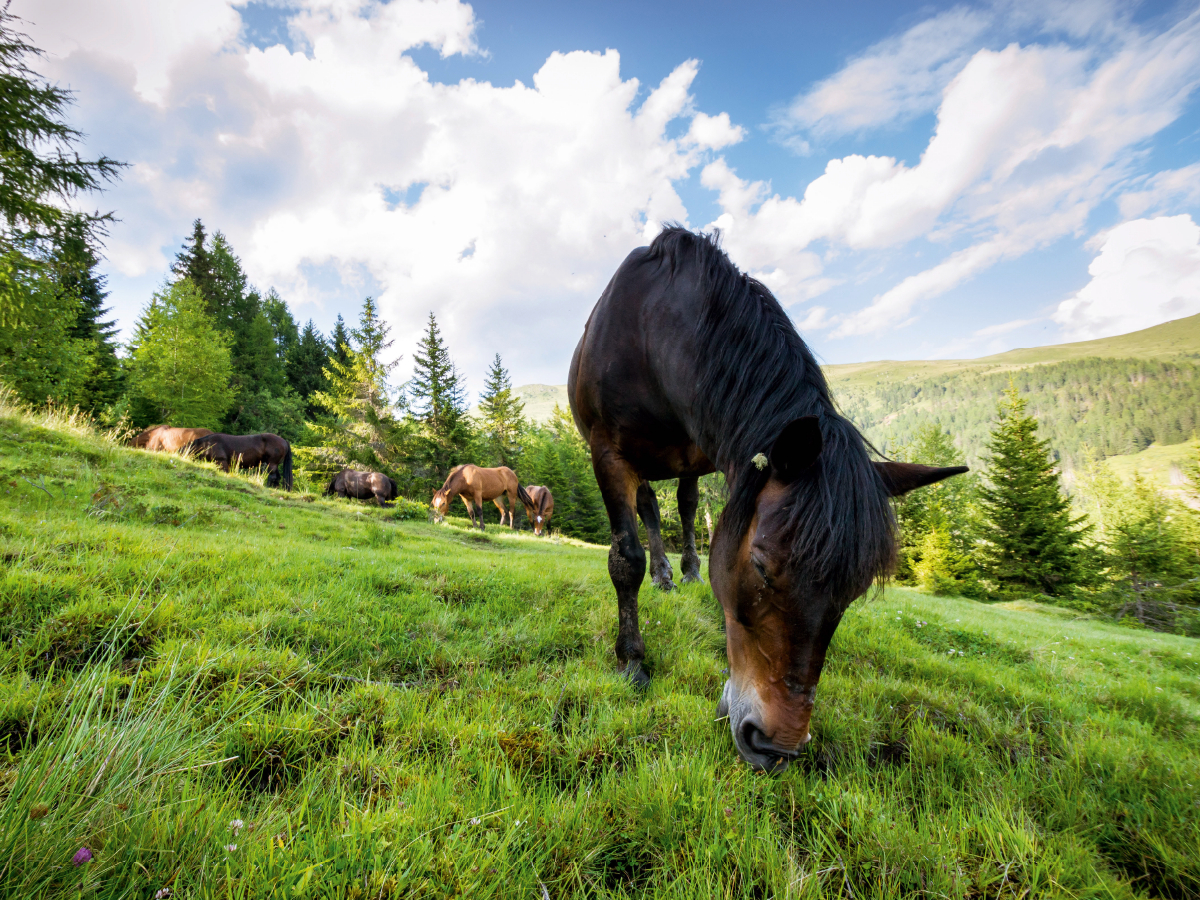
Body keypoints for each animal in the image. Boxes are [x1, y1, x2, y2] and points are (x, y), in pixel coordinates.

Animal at [566, 226, 969, 777]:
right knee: (649, 509)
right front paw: (632, 660)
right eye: (760, 567)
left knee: (686, 507)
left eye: (855, 591)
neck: (653, 328)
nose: (776, 745)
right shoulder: (608, 451)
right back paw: (663, 576)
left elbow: (701, 524)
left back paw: (685, 572)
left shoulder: (719, 448)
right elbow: (625, 558)